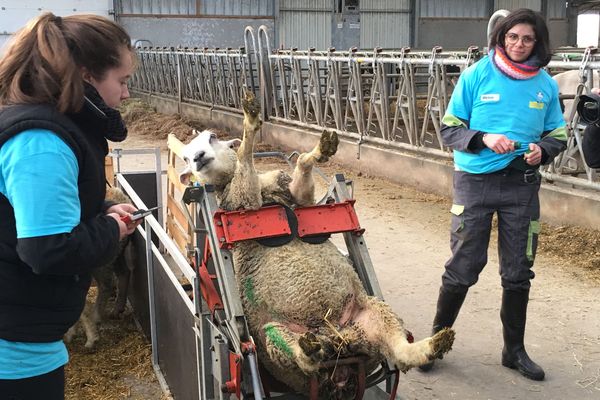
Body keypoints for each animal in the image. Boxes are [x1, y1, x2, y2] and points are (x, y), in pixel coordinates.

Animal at [178, 93, 454, 396]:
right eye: (185, 156)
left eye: (213, 137)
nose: (197, 158)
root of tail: (340, 344)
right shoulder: (241, 203)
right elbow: (244, 160)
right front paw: (250, 119)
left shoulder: (298, 198)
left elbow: (301, 167)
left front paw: (323, 148)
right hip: (274, 337)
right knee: (302, 358)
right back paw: (309, 349)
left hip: (373, 314)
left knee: (400, 351)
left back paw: (434, 345)